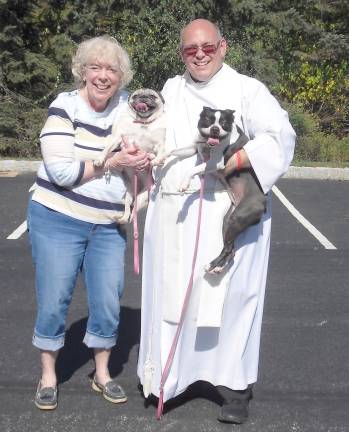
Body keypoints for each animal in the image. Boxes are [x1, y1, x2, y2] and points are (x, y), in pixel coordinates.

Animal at [164, 106, 266, 272]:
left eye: (224, 123)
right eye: (208, 120)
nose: (215, 129)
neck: (209, 145)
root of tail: (264, 204)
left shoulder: (215, 163)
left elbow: (192, 170)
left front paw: (185, 183)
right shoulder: (193, 147)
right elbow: (173, 150)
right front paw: (157, 158)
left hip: (238, 218)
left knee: (228, 247)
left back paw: (212, 265)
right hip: (228, 220)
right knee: (230, 248)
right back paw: (218, 267)